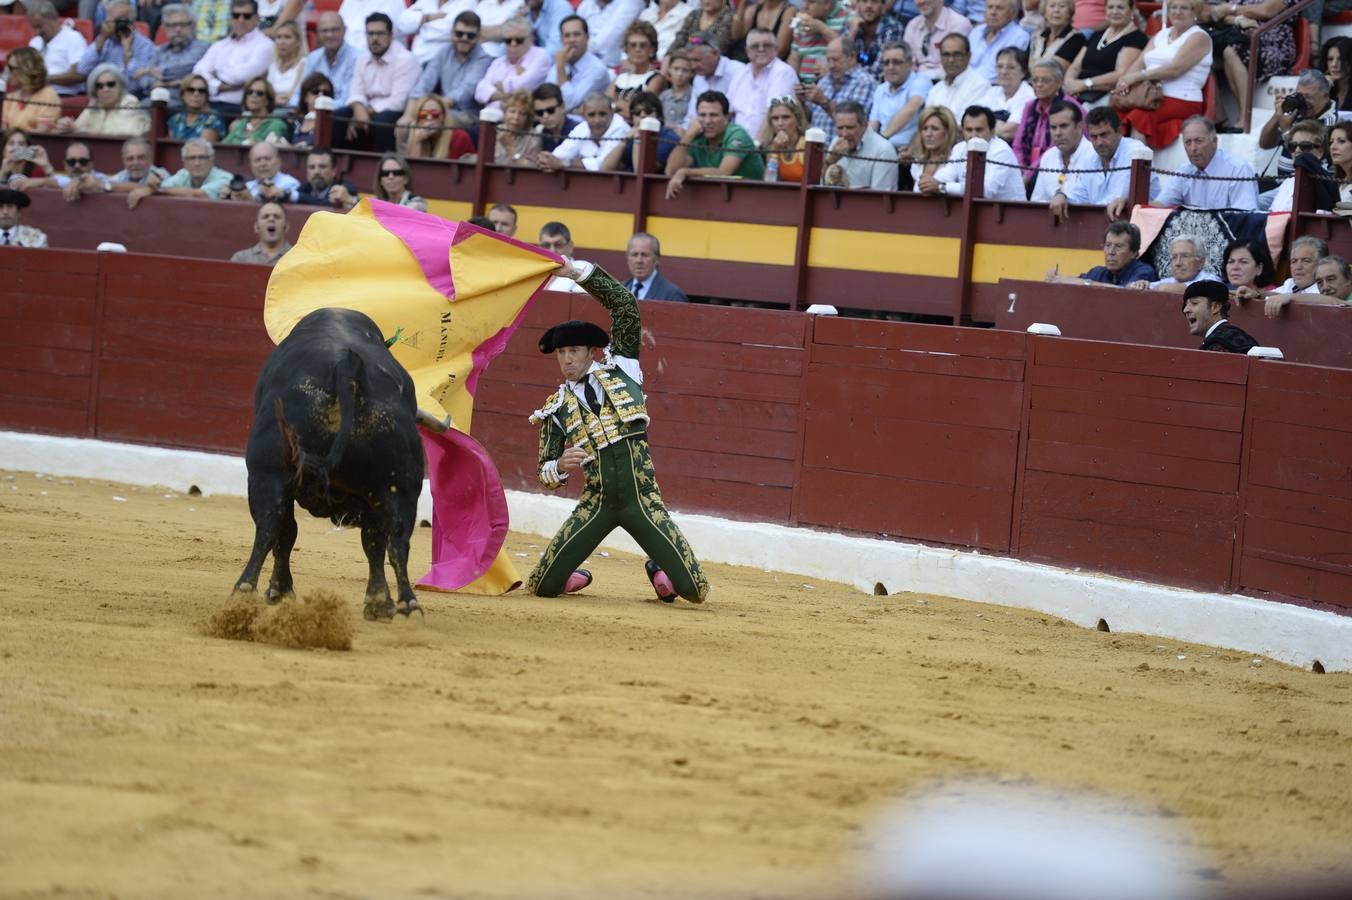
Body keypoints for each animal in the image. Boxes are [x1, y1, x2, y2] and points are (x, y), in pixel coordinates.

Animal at [232, 306, 421, 616]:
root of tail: (346, 365)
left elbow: (286, 534)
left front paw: (279, 591)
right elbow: (373, 540)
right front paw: (378, 601)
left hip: (266, 473)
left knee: (270, 527)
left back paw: (244, 591)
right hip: (400, 485)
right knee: (396, 539)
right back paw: (406, 605)